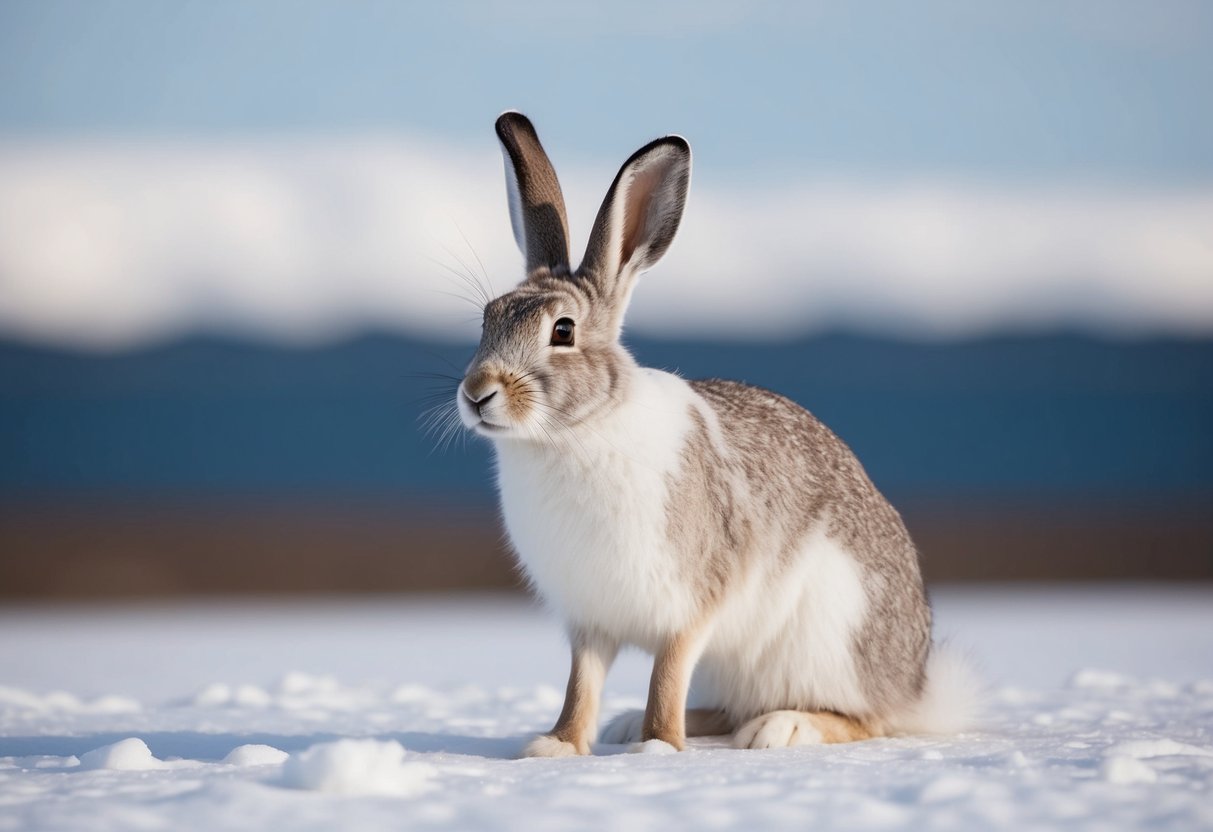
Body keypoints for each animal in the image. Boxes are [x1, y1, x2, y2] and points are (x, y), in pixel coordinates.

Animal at [456, 111, 980, 756]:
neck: (576, 431)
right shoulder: (590, 620)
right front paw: (557, 746)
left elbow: (666, 675)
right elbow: (582, 685)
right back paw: (632, 722)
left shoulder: (692, 605)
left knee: (866, 719)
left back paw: (783, 726)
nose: (477, 392)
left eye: (562, 330)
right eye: (487, 319)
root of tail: (915, 684)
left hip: (828, 636)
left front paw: (657, 747)